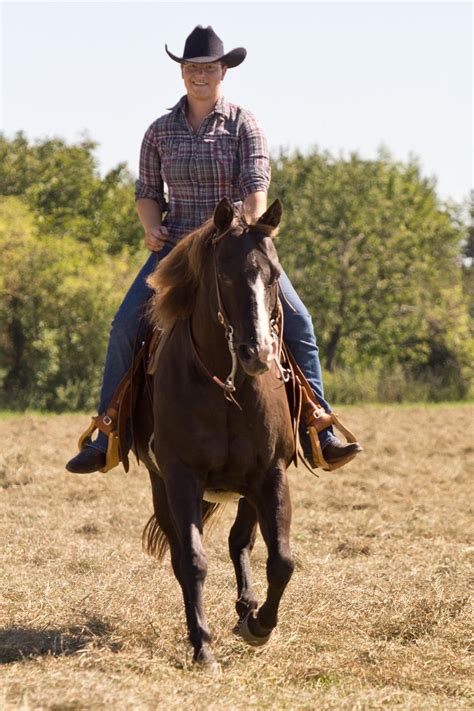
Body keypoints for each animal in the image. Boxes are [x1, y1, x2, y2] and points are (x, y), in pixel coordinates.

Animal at [133, 197, 294, 672]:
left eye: (274, 276)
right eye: (224, 275)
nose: (258, 353)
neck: (228, 389)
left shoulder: (271, 474)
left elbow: (281, 560)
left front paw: (259, 625)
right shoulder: (180, 476)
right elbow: (192, 560)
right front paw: (202, 646)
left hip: (245, 490)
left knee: (240, 541)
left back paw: (247, 609)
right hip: (161, 485)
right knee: (184, 554)